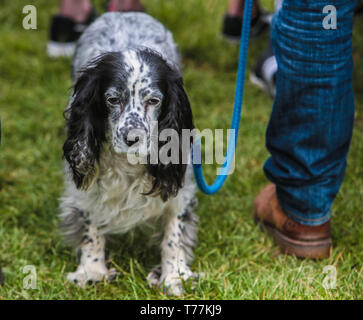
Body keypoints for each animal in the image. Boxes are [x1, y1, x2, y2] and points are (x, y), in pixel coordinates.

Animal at [61, 12, 200, 294]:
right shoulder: (85, 186)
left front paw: (174, 276)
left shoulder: (180, 188)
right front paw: (91, 271)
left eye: (153, 101)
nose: (132, 138)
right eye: (113, 99)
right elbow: (90, 226)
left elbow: (174, 234)